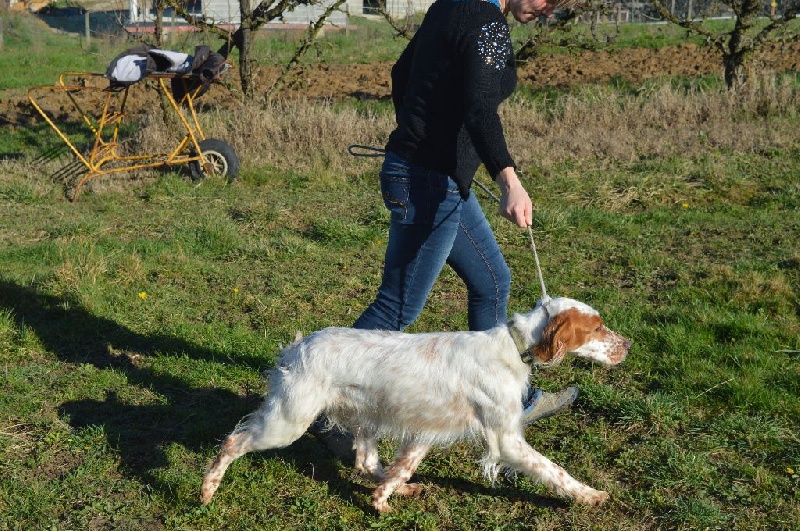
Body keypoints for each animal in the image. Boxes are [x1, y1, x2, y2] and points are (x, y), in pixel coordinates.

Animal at [200, 298, 632, 512]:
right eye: (597, 328)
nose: (627, 345)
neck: (513, 347)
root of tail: (297, 346)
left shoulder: (426, 431)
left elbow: (402, 466)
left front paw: (382, 501)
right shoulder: (505, 438)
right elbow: (553, 470)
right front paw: (590, 495)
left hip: (364, 418)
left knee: (367, 462)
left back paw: (400, 489)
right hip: (288, 422)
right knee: (232, 443)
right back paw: (207, 490)